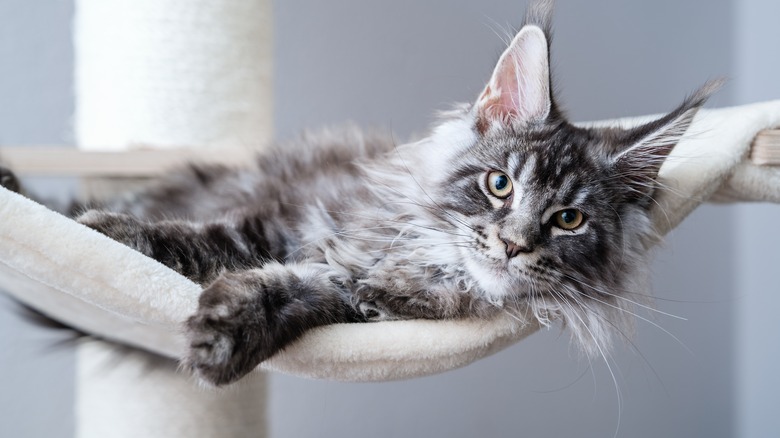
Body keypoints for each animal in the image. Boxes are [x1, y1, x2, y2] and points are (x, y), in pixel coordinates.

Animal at [0, 0, 720, 384]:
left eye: (568, 220)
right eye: (498, 184)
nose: (514, 245)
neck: (430, 263)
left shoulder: (355, 300)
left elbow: (285, 293)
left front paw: (224, 338)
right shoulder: (289, 218)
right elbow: (198, 241)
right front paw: (108, 234)